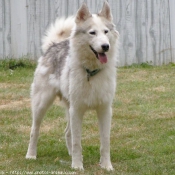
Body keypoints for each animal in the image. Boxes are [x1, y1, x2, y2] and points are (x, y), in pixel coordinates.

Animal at [26, 1, 119, 171]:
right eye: (92, 33)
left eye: (106, 31)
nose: (105, 46)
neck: (91, 72)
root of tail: (53, 45)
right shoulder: (77, 110)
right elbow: (77, 143)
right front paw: (77, 166)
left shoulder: (104, 110)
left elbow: (105, 142)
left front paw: (106, 165)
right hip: (41, 105)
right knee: (34, 130)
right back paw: (31, 155)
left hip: (69, 109)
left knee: (67, 132)